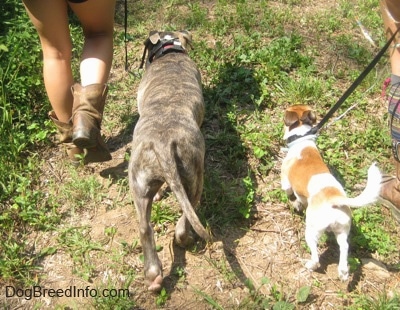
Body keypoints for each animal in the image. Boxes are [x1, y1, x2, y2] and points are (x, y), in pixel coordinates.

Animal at [280, 104, 382, 280]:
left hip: (312, 230)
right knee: (344, 247)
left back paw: (311, 265)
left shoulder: (286, 180)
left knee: (316, 256)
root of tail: (335, 199)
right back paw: (343, 271)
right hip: (342, 229)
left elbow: (289, 193)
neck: (303, 139)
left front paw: (294, 203)